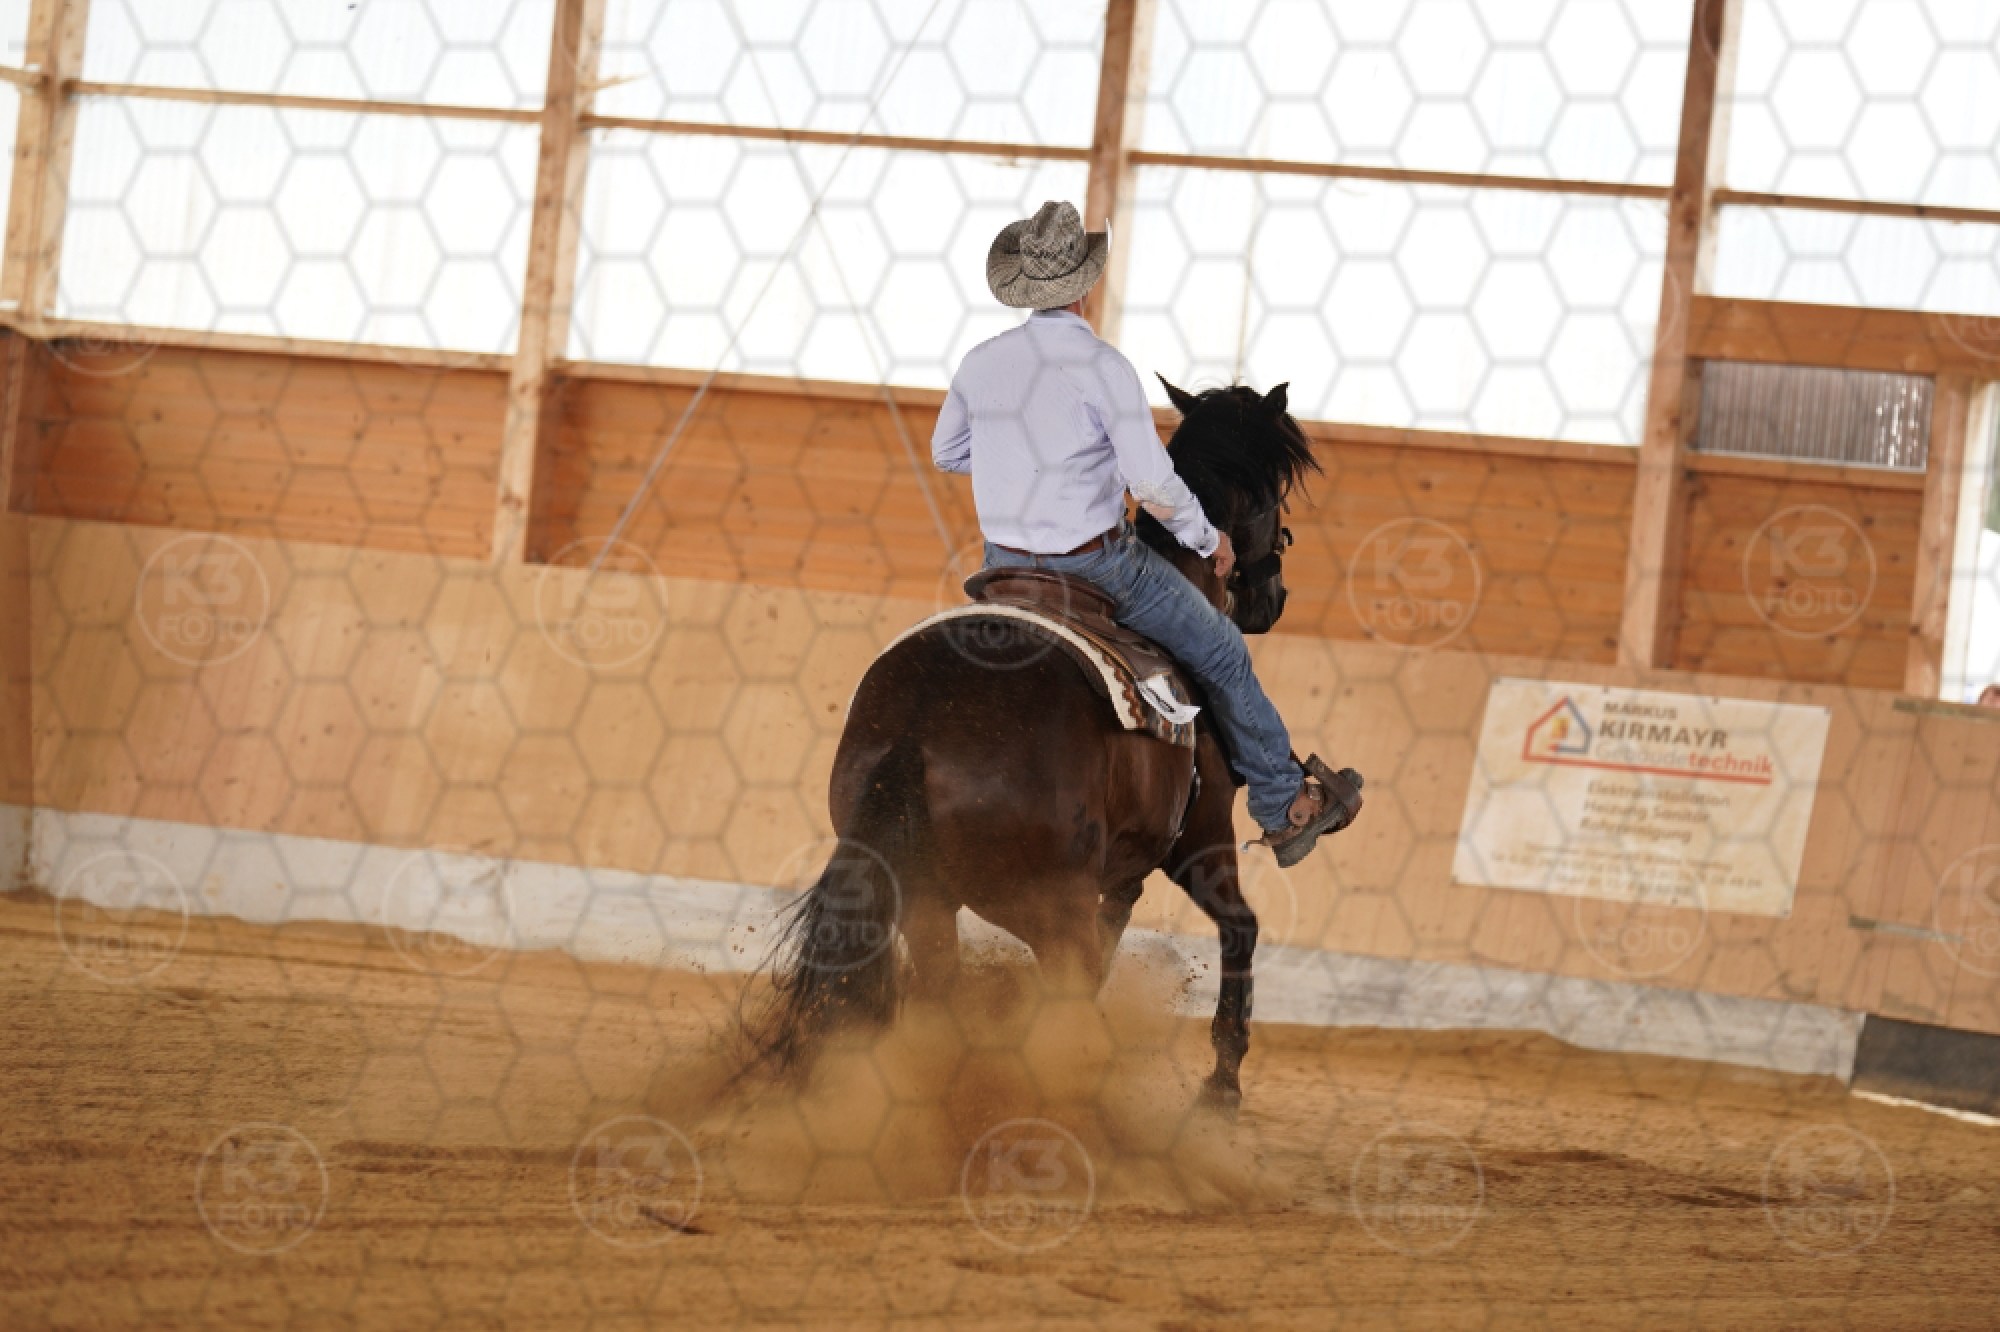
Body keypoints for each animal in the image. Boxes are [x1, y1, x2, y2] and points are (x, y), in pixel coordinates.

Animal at [745, 378, 1322, 1113]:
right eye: (1276, 488)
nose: (1271, 599)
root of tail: (919, 723)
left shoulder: (1126, 872)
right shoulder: (1200, 837)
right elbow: (1239, 927)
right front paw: (1221, 1084)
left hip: (926, 901)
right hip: (1046, 910)